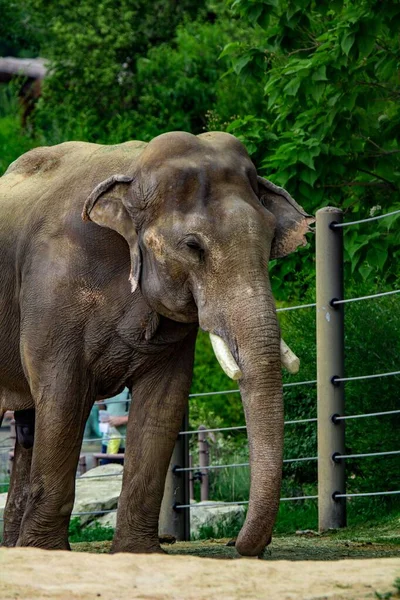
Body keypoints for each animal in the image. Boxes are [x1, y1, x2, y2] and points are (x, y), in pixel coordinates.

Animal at [0, 132, 312, 556]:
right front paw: (47, 552)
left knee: (28, 427)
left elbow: (164, 402)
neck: (133, 171)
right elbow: (63, 396)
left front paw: (137, 553)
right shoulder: (51, 288)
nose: (240, 545)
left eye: (269, 241)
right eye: (194, 246)